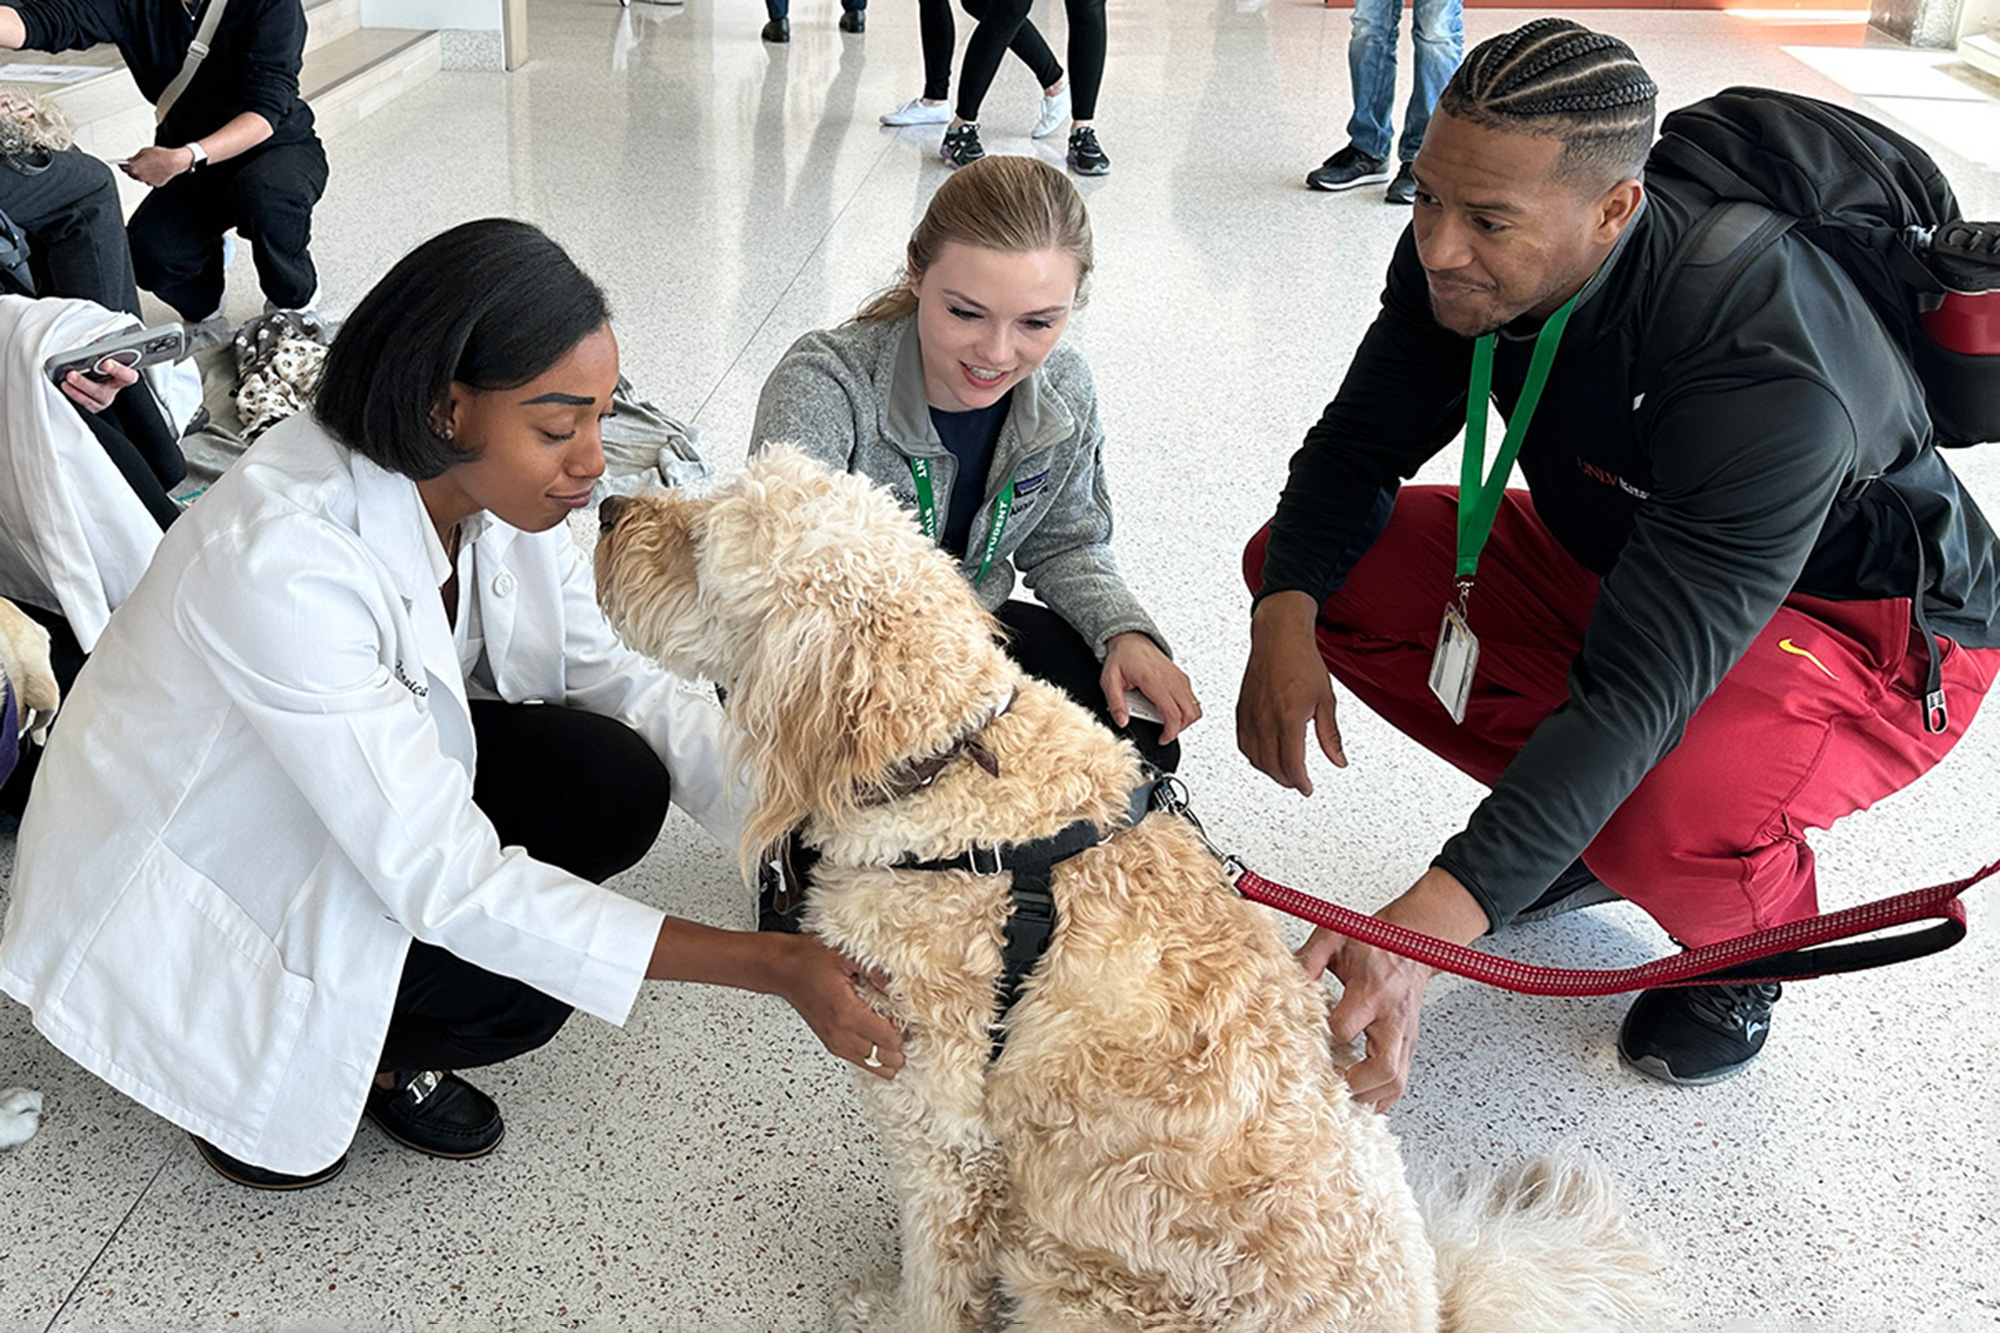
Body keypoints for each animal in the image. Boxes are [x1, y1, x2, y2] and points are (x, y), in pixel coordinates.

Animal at [596, 452, 1672, 1320]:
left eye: (701, 541)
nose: (605, 508)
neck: (956, 767)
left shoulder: (945, 1140)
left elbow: (937, 1284)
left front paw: (889, 1308)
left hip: (1069, 1274)